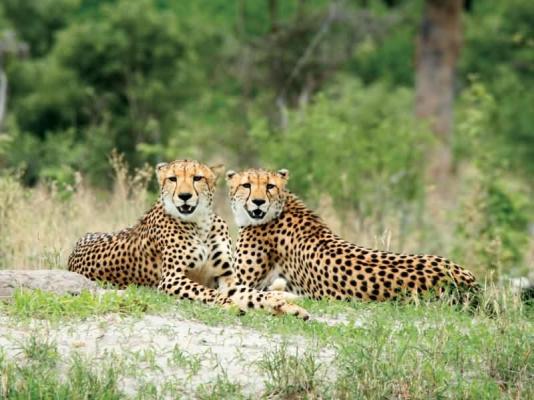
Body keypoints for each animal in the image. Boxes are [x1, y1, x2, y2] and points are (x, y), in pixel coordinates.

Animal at [68, 159, 310, 318]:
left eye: (197, 178)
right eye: (172, 179)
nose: (185, 196)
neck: (200, 224)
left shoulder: (227, 280)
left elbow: (256, 295)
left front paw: (286, 307)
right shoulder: (172, 279)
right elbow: (209, 293)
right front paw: (231, 305)